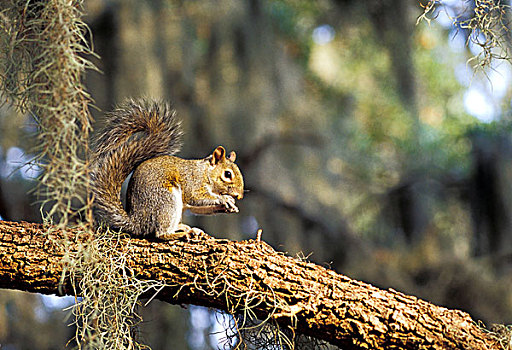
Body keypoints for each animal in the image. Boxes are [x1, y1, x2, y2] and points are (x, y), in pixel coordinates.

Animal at [91, 98, 245, 241]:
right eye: (227, 174)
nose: (239, 196)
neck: (205, 172)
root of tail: (137, 222)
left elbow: (197, 207)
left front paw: (229, 206)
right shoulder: (193, 182)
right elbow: (197, 198)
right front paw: (224, 199)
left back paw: (186, 228)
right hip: (166, 200)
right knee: (161, 233)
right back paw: (184, 233)